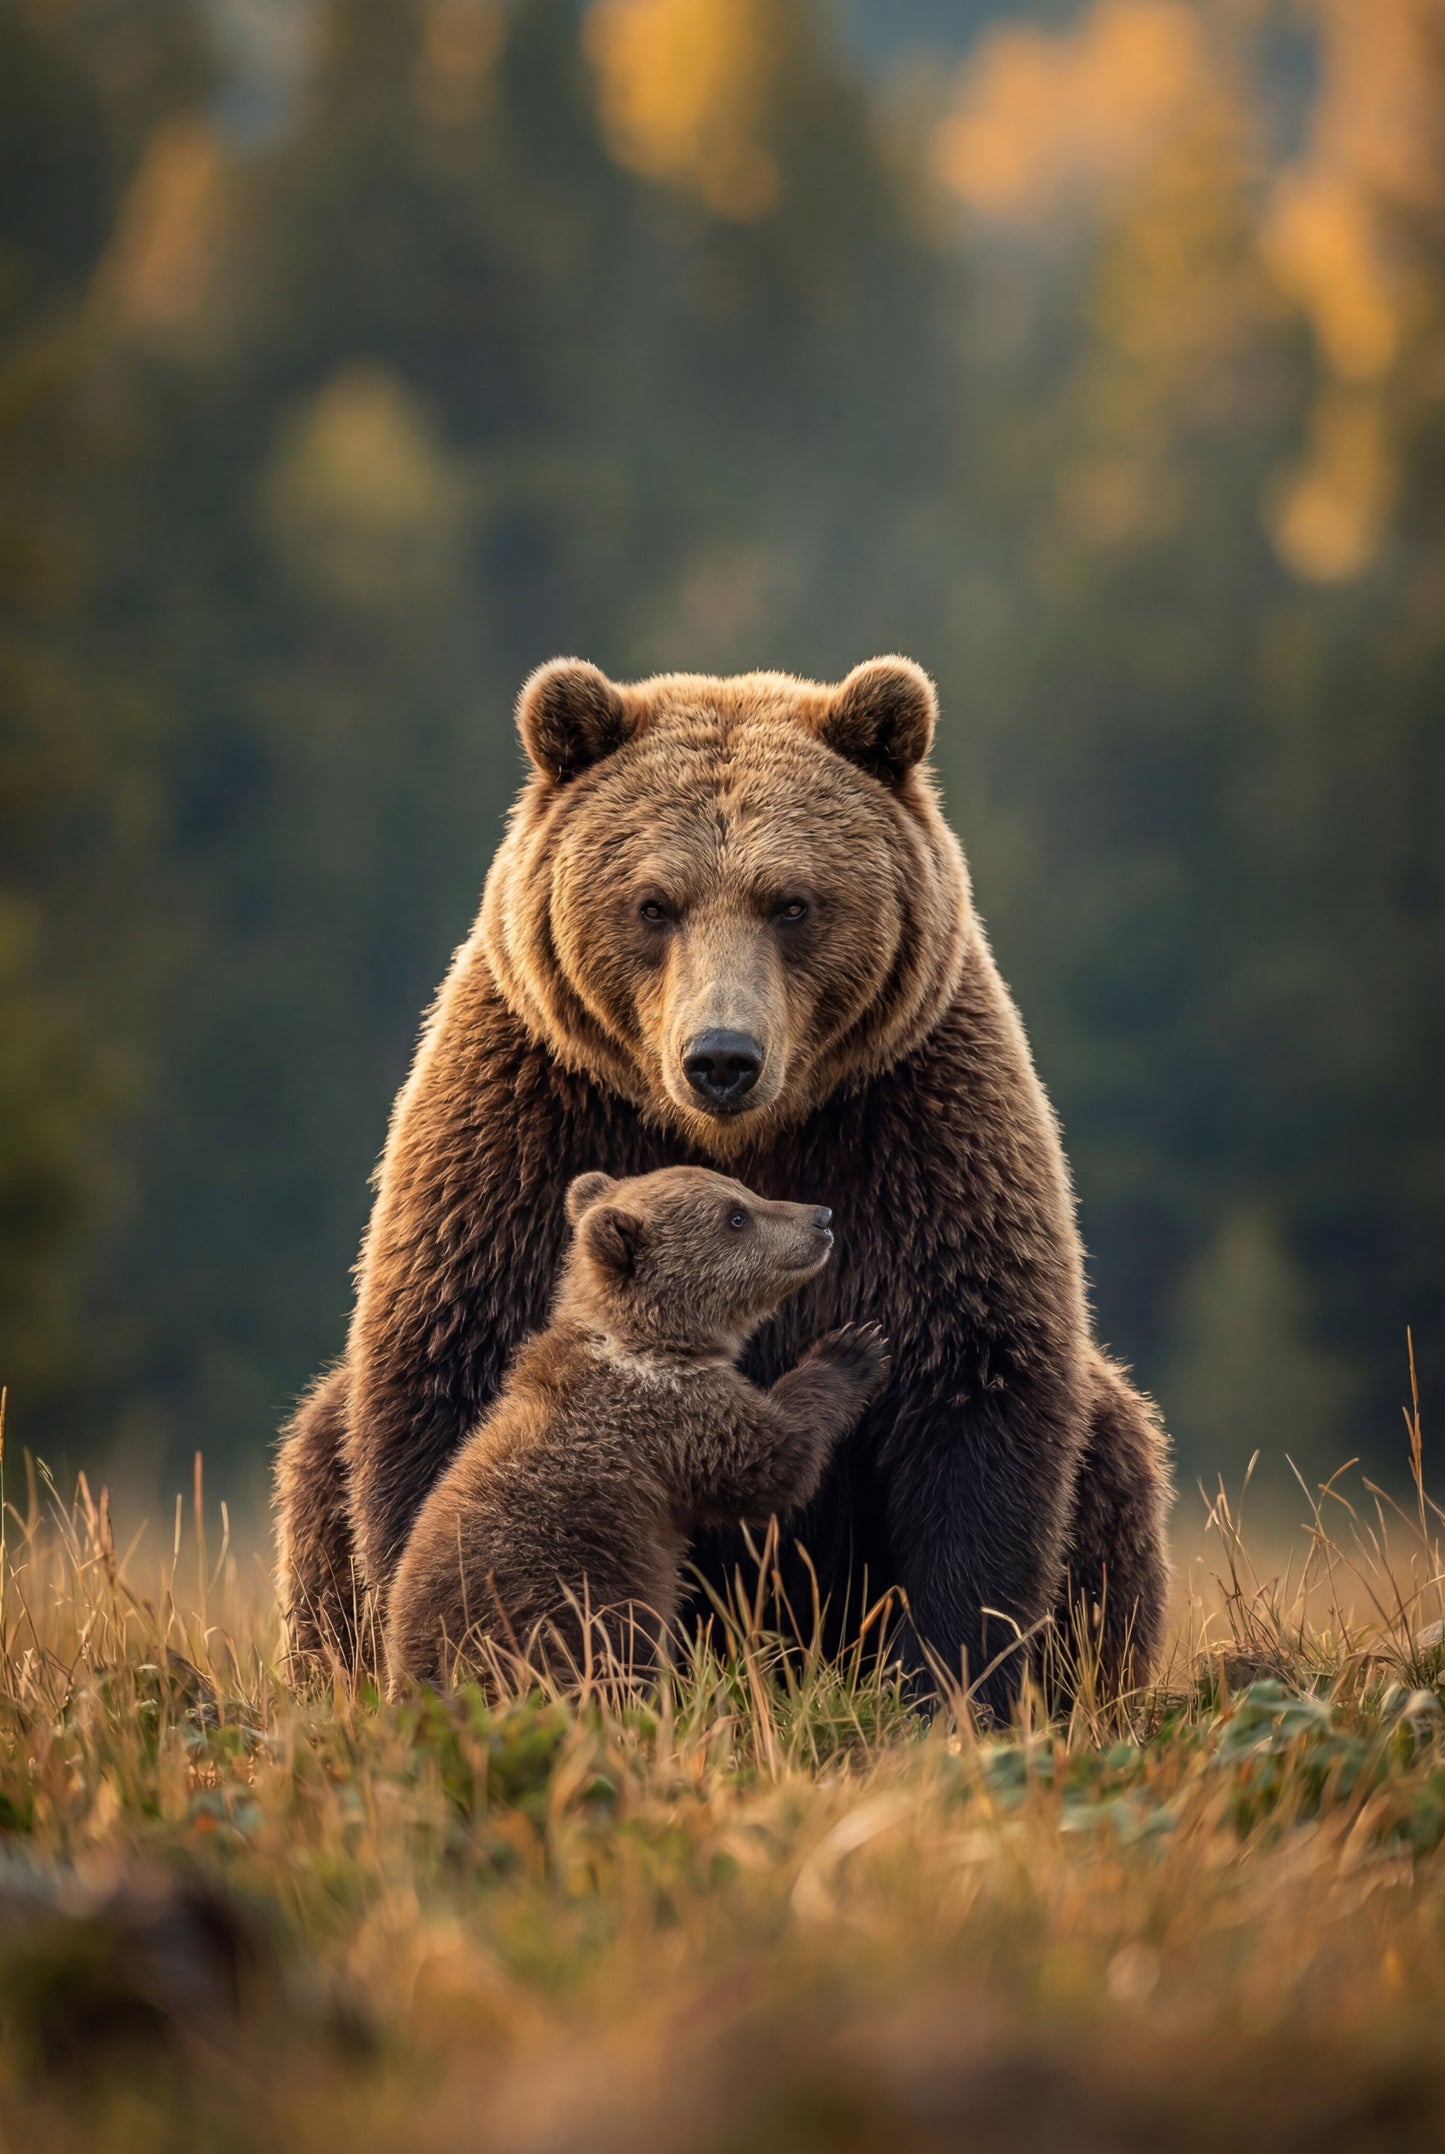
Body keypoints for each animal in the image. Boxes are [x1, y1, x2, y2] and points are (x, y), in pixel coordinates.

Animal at [386, 1166, 889, 1691]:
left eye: (745, 1192)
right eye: (736, 1216)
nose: (821, 1217)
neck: (639, 1340)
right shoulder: (672, 1416)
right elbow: (773, 1462)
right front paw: (853, 1349)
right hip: (555, 1605)